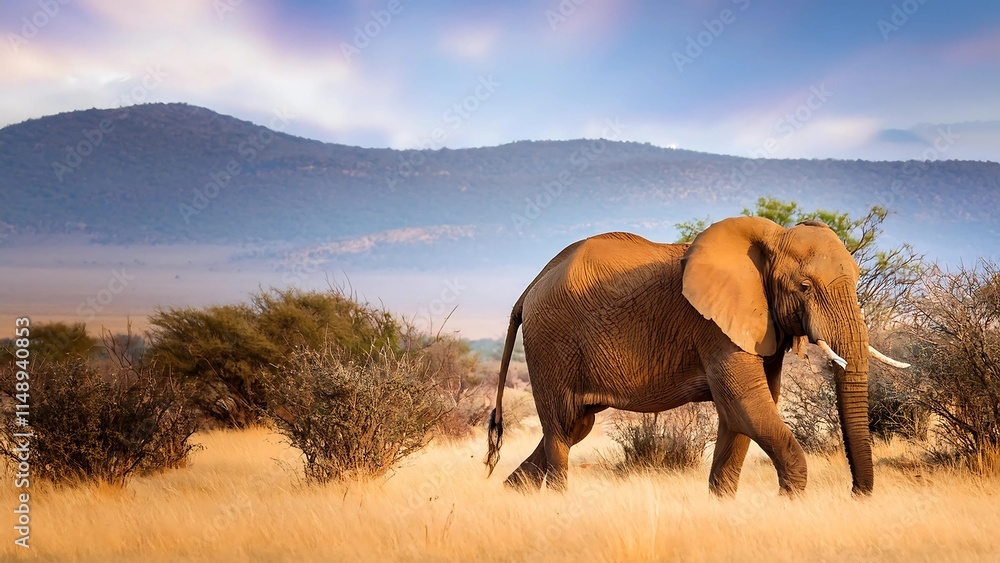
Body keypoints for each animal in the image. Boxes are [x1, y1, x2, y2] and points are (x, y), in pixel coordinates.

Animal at [485, 216, 907, 496]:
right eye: (804, 286)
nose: (856, 494)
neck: (771, 238)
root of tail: (530, 287)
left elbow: (744, 412)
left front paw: (722, 504)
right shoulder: (714, 329)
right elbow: (746, 403)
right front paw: (792, 505)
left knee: (573, 427)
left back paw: (509, 496)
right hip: (551, 342)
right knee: (560, 430)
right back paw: (557, 504)